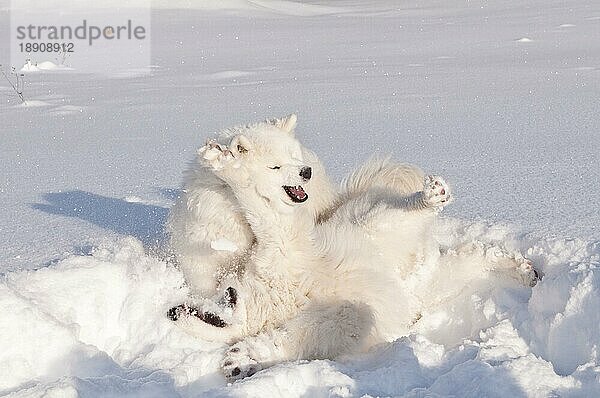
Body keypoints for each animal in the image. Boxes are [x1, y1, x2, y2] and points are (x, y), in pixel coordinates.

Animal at [166, 114, 536, 380]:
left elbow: (269, 215)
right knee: (467, 262)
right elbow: (329, 326)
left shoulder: (285, 252)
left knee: (402, 213)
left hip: (375, 225)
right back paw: (522, 269)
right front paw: (241, 359)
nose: (171, 311)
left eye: (223, 291)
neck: (276, 297)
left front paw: (225, 161)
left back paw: (432, 195)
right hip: (426, 283)